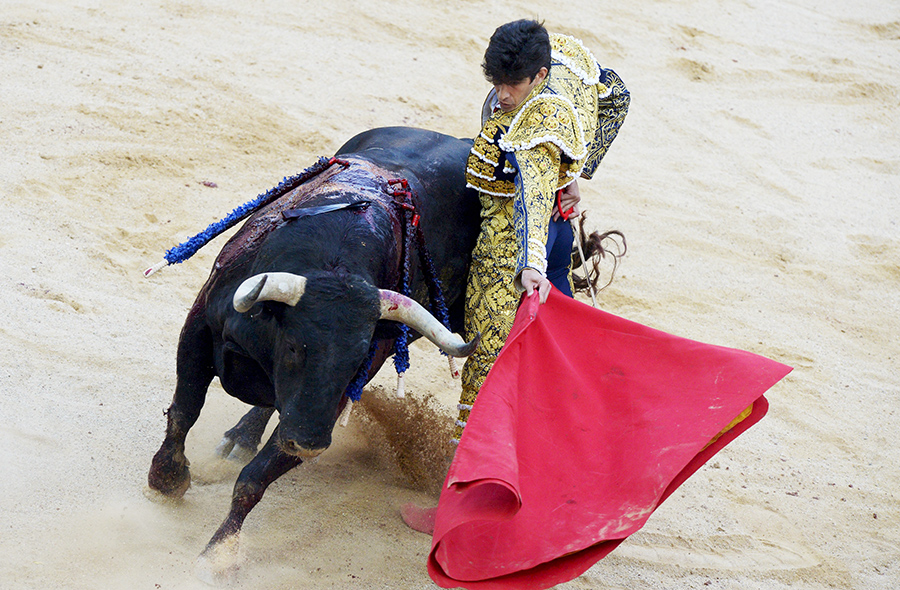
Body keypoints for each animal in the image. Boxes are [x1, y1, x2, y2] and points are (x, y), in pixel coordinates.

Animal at [147, 128, 482, 580]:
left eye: (357, 360)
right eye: (293, 346)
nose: (308, 444)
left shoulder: (328, 404)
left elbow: (256, 477)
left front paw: (217, 555)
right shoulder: (199, 330)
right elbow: (184, 410)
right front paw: (166, 480)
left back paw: (243, 439)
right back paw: (238, 439)